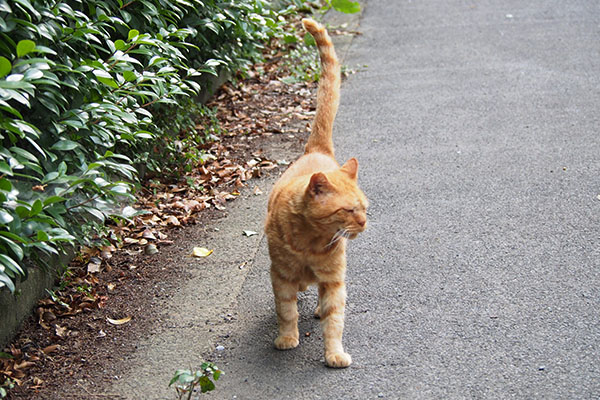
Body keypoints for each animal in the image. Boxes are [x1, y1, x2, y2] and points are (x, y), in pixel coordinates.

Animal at [264, 18, 368, 368]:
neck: (311, 241)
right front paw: (286, 339)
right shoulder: (281, 276)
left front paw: (334, 354)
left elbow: (335, 319)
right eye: (349, 210)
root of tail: (317, 150)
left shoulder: (334, 279)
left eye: (365, 208)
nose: (364, 223)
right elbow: (286, 312)